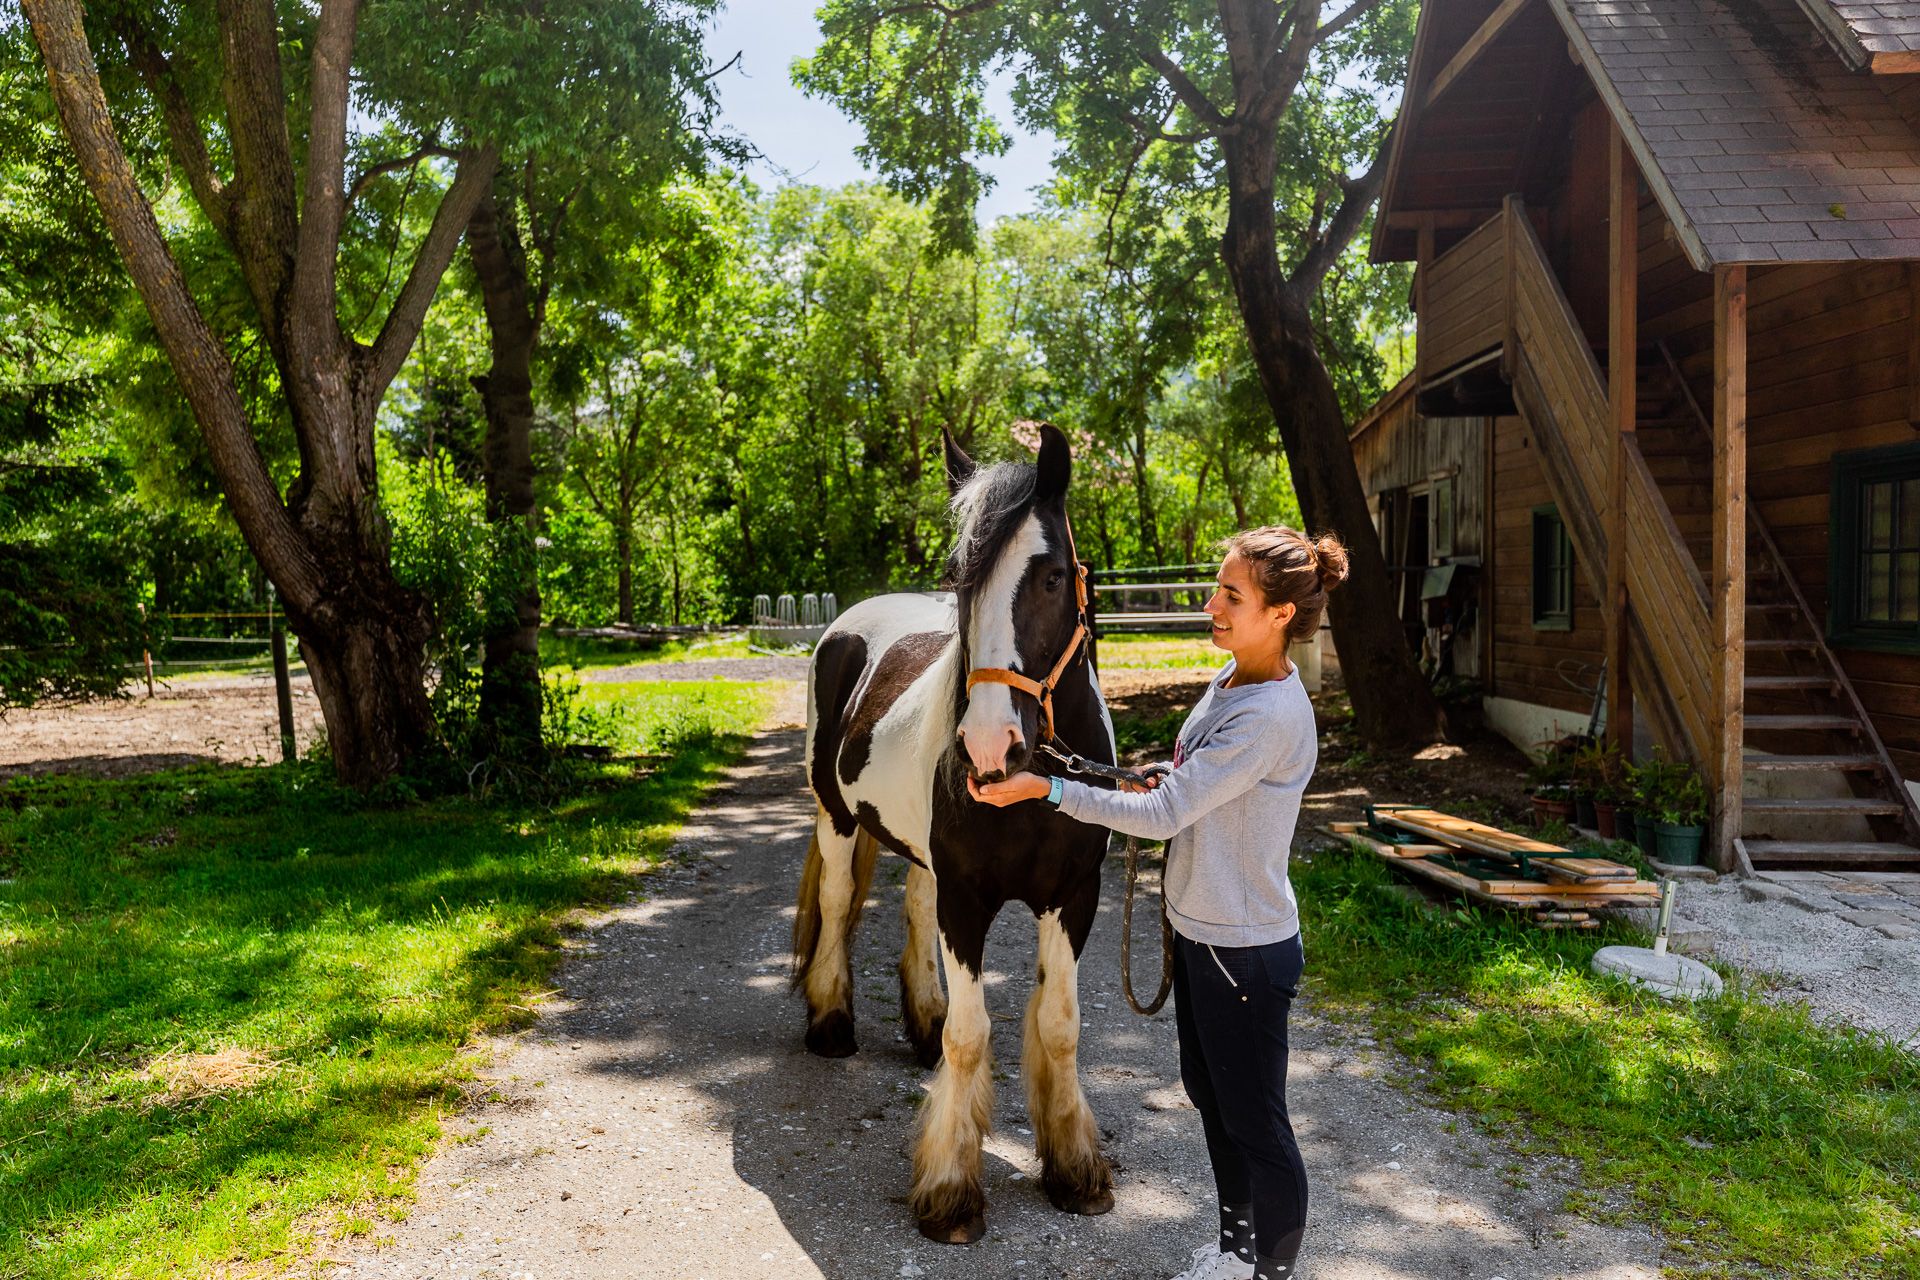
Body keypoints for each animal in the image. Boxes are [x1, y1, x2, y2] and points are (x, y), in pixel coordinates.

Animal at [791, 421, 1119, 1244]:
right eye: (962, 581)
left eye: (1052, 577)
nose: (989, 745)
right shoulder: (968, 901)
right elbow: (973, 1036)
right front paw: (949, 1191)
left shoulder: (1075, 895)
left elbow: (1059, 1025)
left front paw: (1074, 1170)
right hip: (835, 817)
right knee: (837, 906)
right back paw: (830, 1022)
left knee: (911, 907)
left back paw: (921, 1021)